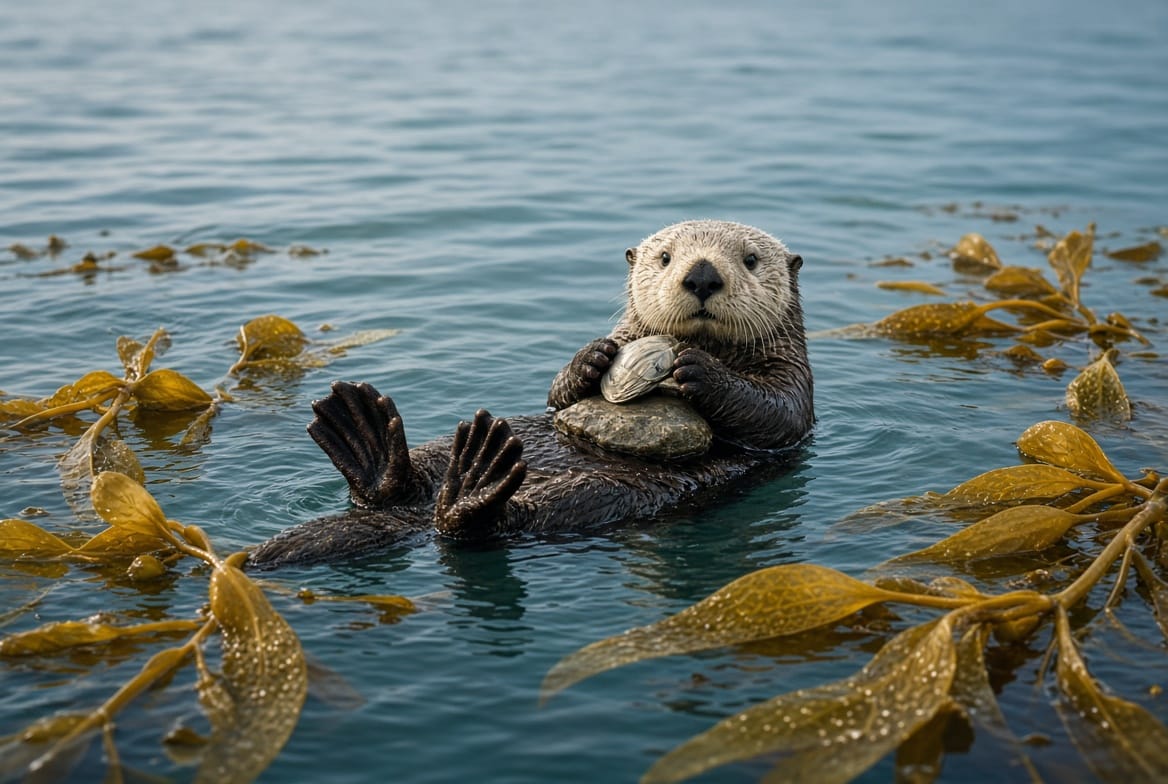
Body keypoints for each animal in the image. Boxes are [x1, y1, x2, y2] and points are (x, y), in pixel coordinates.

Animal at [247, 220, 813, 568]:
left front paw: (698, 368)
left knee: (484, 525)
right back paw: (367, 437)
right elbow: (557, 395)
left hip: (596, 496)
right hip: (442, 452)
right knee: (403, 483)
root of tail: (419, 518)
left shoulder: (792, 379)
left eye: (751, 259)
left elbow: (777, 414)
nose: (701, 275)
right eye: (666, 257)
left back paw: (470, 484)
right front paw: (591, 358)